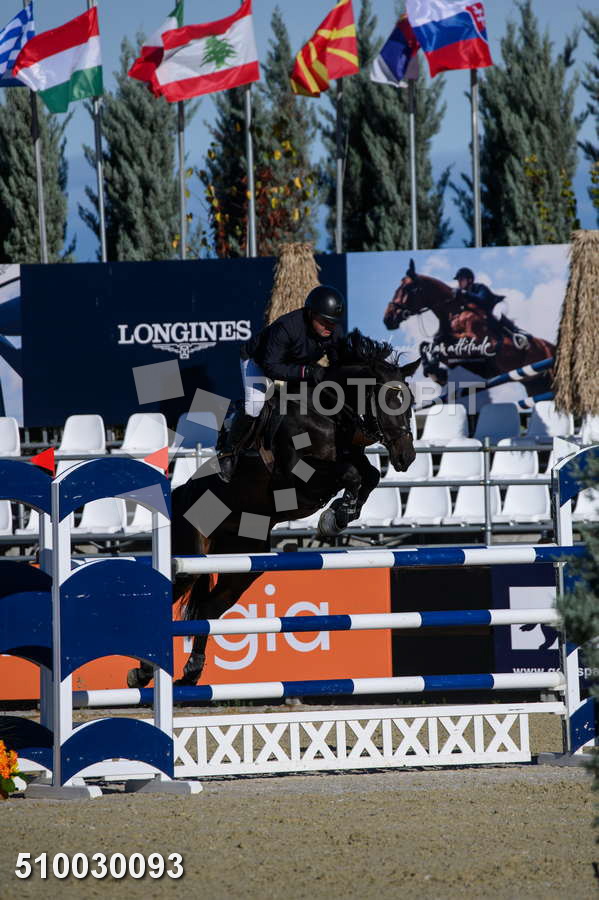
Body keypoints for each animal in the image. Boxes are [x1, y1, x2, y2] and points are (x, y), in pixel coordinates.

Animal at [127, 329, 418, 688]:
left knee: (208, 609)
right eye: (389, 399)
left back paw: (189, 673)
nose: (406, 457)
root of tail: (178, 495)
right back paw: (142, 672)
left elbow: (369, 475)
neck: (328, 415)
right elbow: (350, 474)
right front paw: (334, 516)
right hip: (189, 557)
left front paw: (340, 515)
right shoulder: (296, 477)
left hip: (242, 563)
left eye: (410, 402)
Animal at [383, 259, 555, 389]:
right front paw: (433, 370)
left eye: (407, 288)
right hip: (535, 383)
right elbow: (426, 345)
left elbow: (438, 342)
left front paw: (435, 371)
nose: (387, 319)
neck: (454, 312)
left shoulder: (481, 343)